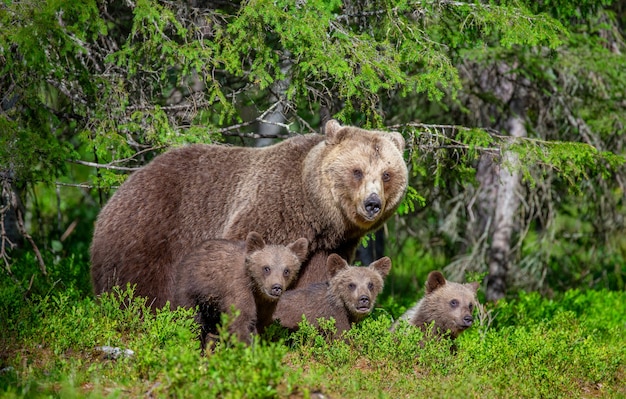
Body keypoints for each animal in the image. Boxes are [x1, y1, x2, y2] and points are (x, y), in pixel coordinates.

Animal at [90, 120, 408, 308]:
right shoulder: (273, 208)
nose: (372, 203)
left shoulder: (331, 244)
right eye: (357, 171)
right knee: (140, 285)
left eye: (387, 174)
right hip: (151, 230)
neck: (317, 211)